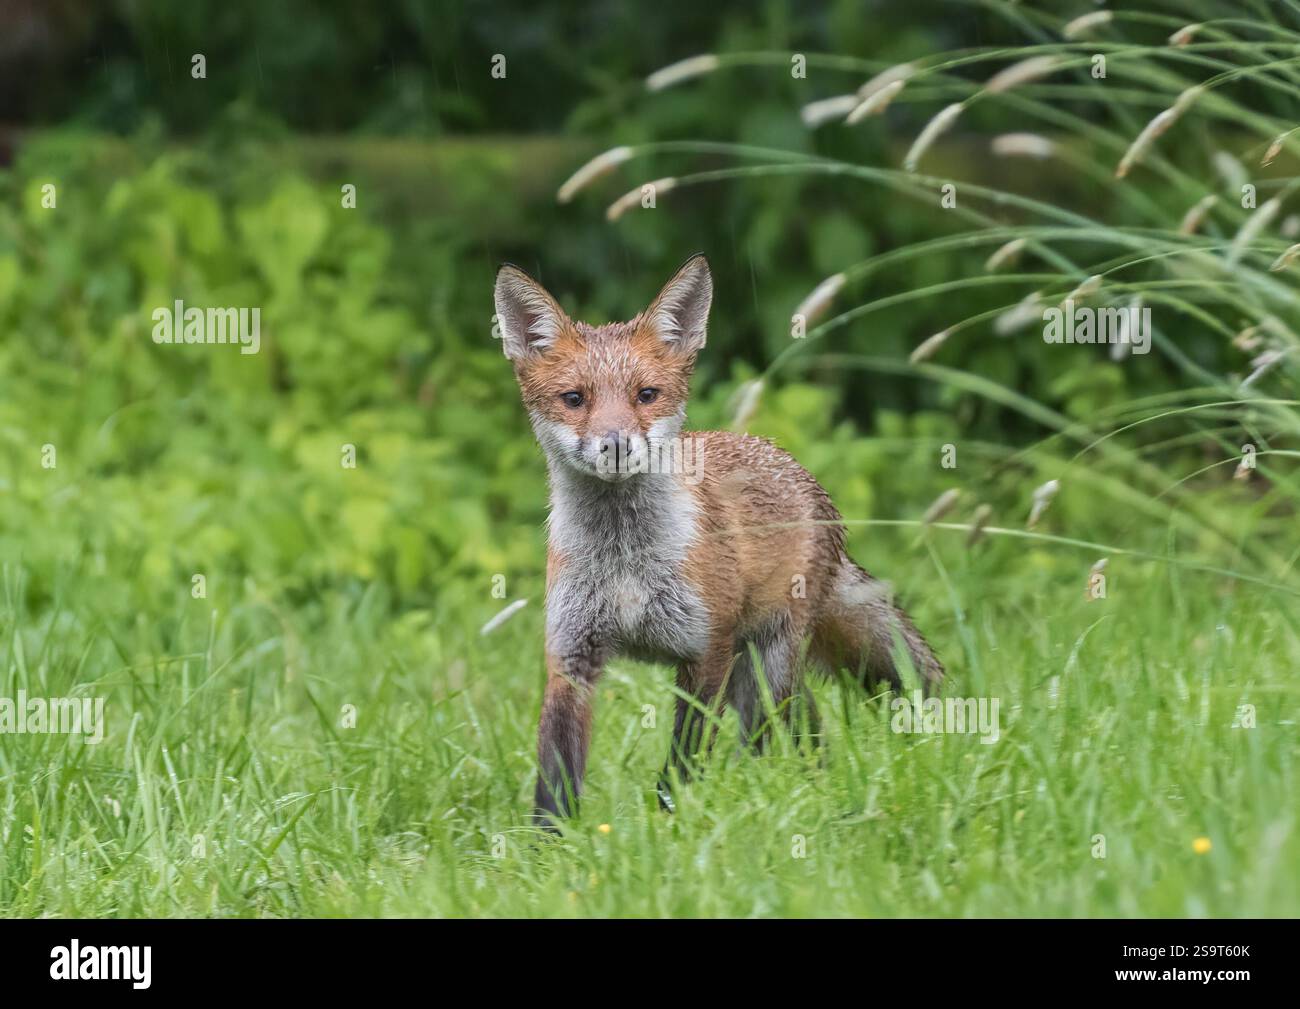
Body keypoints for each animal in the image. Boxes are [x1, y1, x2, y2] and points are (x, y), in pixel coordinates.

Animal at [494, 253, 943, 825]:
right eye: (574, 399)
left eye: (646, 395)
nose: (615, 444)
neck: (625, 560)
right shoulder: (572, 655)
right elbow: (556, 771)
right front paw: (548, 841)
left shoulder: (704, 651)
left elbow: (682, 760)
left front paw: (672, 824)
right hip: (753, 669)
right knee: (809, 725)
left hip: (765, 664)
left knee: (768, 736)